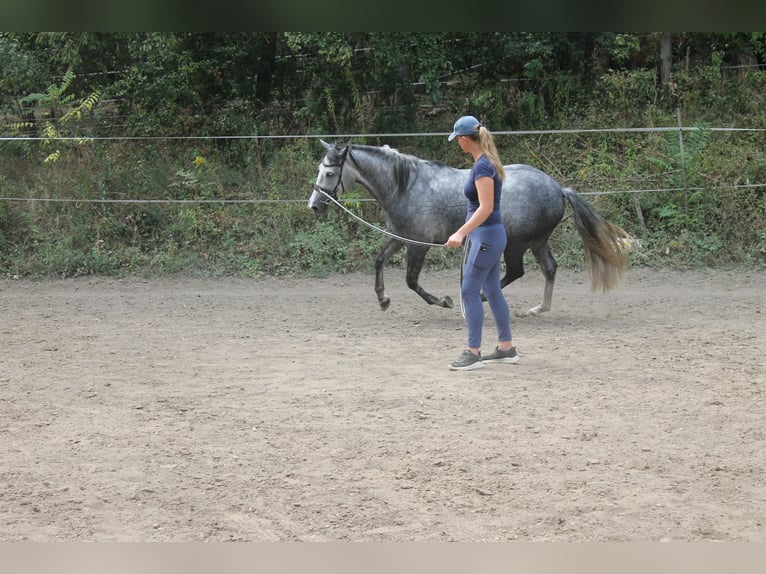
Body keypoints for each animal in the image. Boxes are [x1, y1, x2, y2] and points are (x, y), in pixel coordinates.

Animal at [308, 142, 632, 318]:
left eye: (330, 172)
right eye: (320, 169)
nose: (314, 205)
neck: (406, 186)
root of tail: (557, 188)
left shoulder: (419, 245)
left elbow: (412, 281)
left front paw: (444, 301)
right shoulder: (401, 239)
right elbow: (379, 261)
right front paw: (383, 299)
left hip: (517, 244)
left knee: (517, 271)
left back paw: (483, 298)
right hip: (537, 242)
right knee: (549, 268)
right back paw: (539, 308)